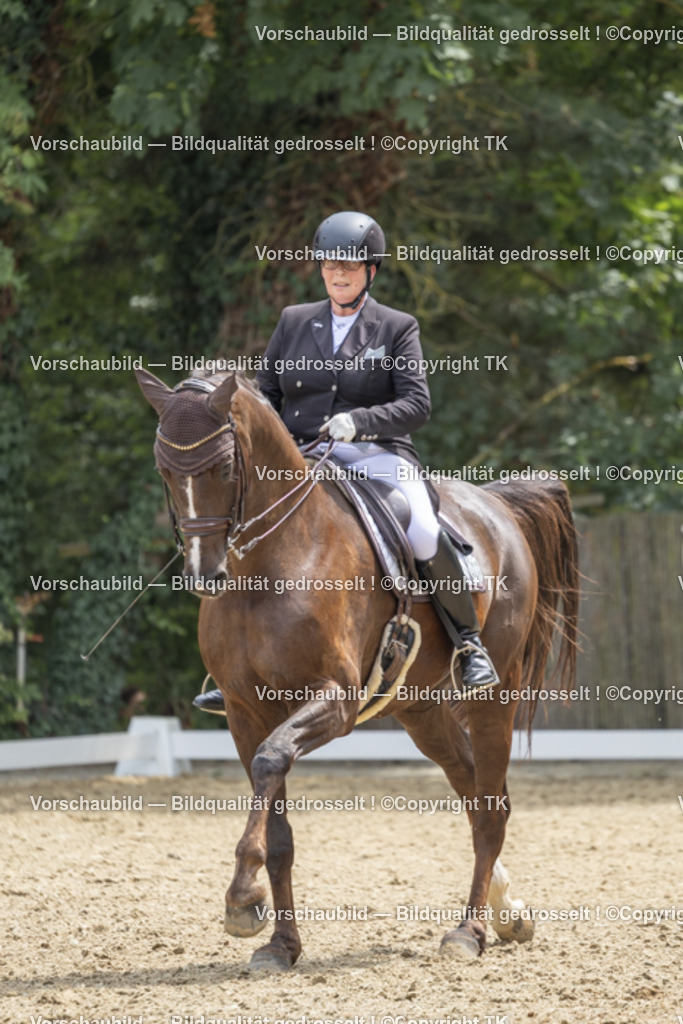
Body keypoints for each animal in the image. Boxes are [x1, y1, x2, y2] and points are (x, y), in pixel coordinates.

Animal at [135, 367, 579, 972]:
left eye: (224, 467)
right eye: (164, 470)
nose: (207, 575)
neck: (268, 565)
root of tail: (493, 502)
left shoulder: (335, 701)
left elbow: (272, 761)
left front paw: (243, 901)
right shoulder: (245, 712)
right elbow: (278, 825)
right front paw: (281, 944)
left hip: (495, 696)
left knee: (489, 809)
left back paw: (469, 931)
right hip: (420, 710)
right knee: (474, 791)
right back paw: (508, 911)